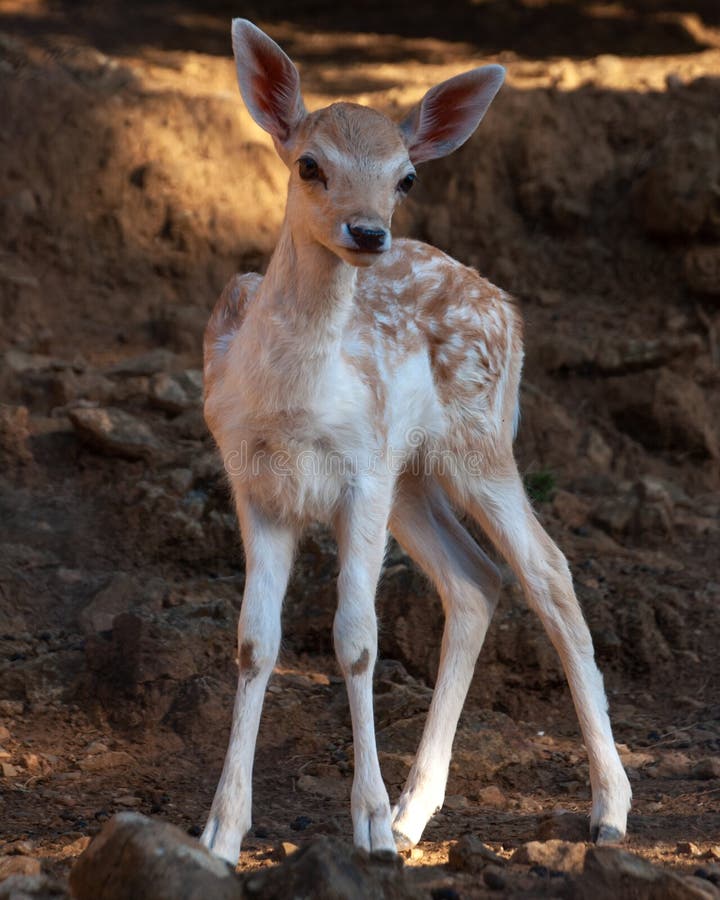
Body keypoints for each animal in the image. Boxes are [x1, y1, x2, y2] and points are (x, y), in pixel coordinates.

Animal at [200, 18, 632, 865]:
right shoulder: (254, 481)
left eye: (405, 179)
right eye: (309, 163)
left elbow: (357, 640)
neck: (289, 402)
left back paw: (609, 811)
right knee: (474, 580)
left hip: (477, 442)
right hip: (413, 477)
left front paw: (364, 828)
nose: (367, 231)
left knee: (548, 571)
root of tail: (509, 308)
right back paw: (412, 812)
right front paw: (220, 836)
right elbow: (254, 643)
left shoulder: (361, 470)